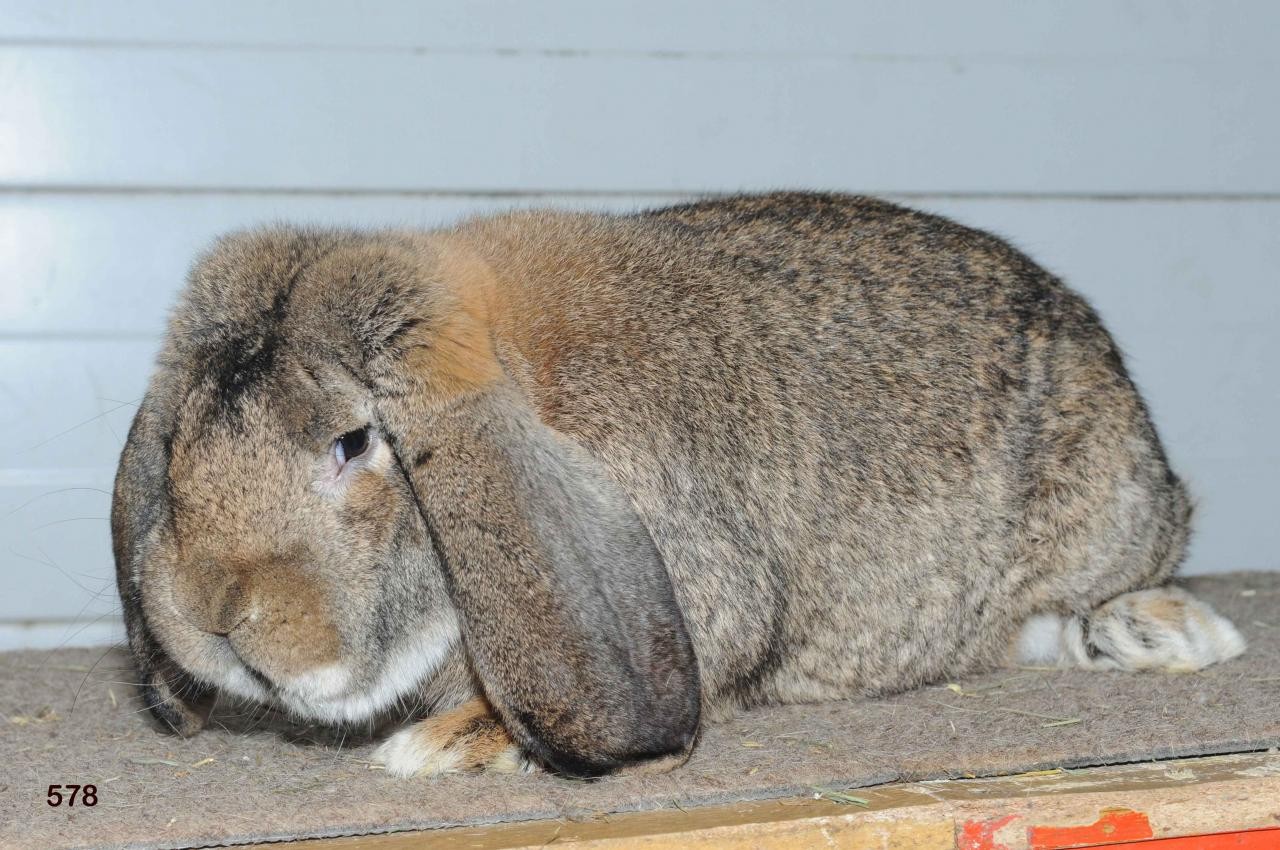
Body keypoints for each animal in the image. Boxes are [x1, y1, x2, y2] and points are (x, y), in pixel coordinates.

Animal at [115, 192, 1244, 778]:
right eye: (183, 439)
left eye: (356, 444)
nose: (212, 618)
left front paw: (434, 746)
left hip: (1109, 517)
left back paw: (1169, 634)